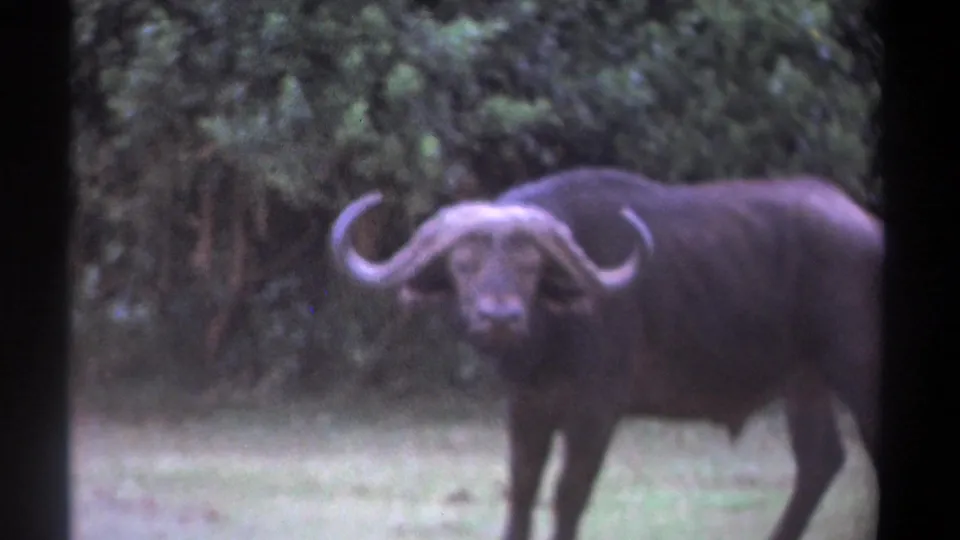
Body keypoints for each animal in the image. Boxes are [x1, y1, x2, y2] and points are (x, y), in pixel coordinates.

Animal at [329, 167, 881, 540]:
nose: (500, 317)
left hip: (856, 369)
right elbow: (522, 488)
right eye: (463, 263)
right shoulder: (526, 405)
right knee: (820, 460)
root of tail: (870, 230)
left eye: (530, 265)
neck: (549, 338)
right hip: (805, 379)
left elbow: (569, 494)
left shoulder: (596, 409)